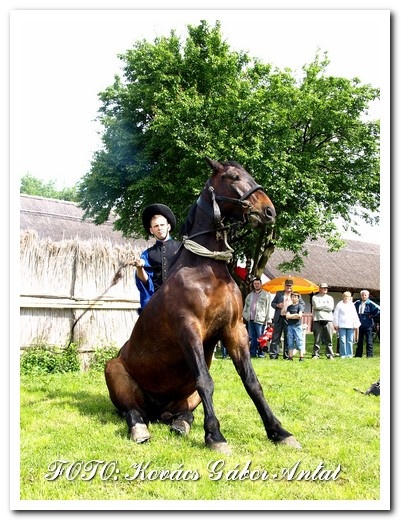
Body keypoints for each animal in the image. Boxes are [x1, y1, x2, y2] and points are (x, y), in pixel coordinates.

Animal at [104, 157, 298, 450]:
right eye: (233, 176)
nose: (268, 211)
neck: (207, 271)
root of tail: (157, 412)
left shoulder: (234, 331)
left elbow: (252, 382)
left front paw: (279, 431)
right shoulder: (189, 330)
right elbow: (205, 381)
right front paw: (215, 435)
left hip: (183, 400)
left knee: (183, 413)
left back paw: (181, 423)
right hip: (115, 372)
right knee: (133, 411)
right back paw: (140, 429)